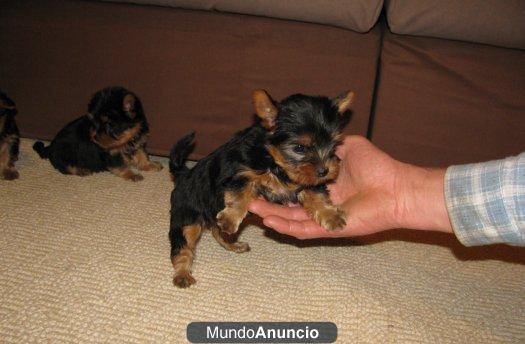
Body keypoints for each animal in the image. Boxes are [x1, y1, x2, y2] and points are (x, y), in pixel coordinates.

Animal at [32, 86, 162, 180]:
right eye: (94, 122)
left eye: (109, 124)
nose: (94, 136)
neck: (127, 137)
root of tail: (50, 148)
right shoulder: (111, 154)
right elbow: (120, 166)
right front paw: (131, 174)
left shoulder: (138, 142)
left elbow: (142, 155)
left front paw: (149, 165)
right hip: (63, 155)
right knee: (65, 167)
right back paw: (81, 170)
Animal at [170, 88, 354, 288]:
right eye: (300, 148)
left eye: (333, 146)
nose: (324, 171)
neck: (274, 161)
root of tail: (184, 175)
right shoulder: (238, 174)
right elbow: (241, 194)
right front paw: (230, 217)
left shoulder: (306, 180)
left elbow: (316, 193)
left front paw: (331, 215)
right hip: (188, 216)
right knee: (183, 245)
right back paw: (182, 274)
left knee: (217, 232)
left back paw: (233, 244)